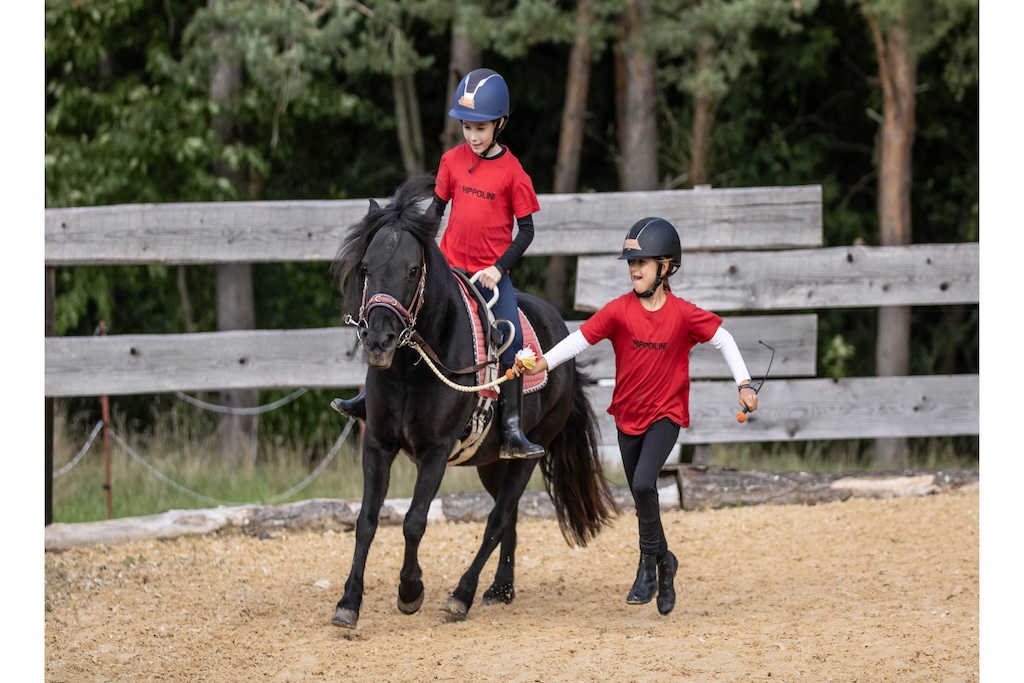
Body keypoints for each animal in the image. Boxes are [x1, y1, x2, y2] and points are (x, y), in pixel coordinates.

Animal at [329, 175, 618, 628]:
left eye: (412, 271)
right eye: (366, 268)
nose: (379, 341)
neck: (414, 367)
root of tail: (563, 335)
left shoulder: (435, 450)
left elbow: (414, 522)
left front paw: (410, 592)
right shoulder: (377, 443)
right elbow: (366, 521)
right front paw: (348, 603)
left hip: (529, 452)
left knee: (498, 518)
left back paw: (461, 596)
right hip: (492, 463)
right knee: (508, 517)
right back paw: (500, 589)